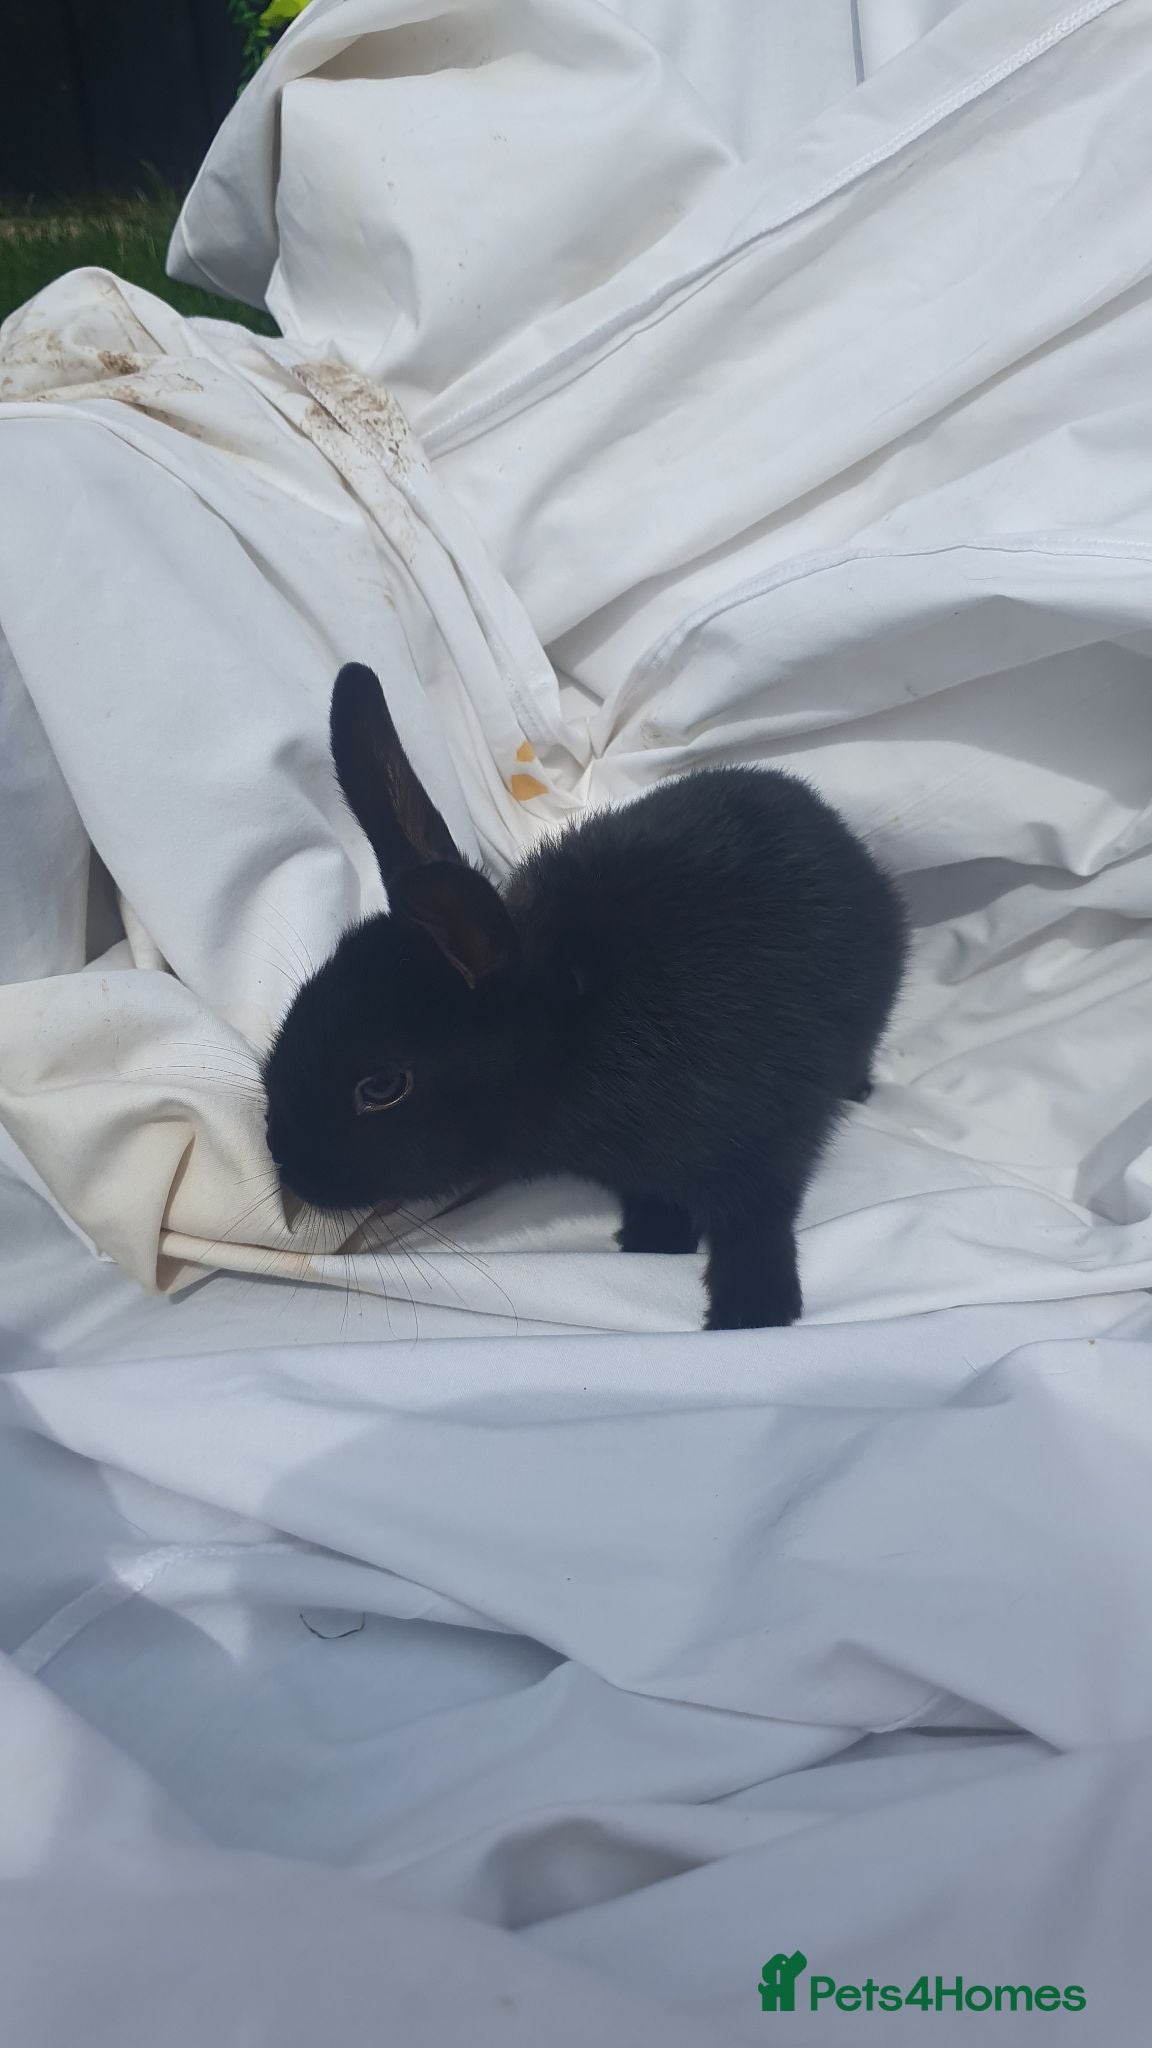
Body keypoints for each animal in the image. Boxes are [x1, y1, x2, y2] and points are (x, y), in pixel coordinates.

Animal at [262, 663, 907, 1330]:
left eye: (383, 1087)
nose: (283, 1160)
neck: (574, 1032)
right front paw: (655, 1235)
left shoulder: (768, 1135)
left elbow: (757, 1219)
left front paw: (752, 1308)